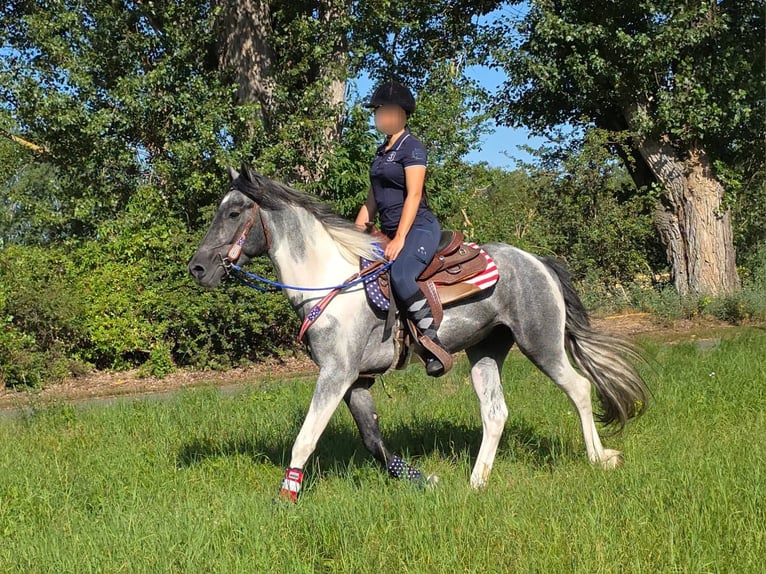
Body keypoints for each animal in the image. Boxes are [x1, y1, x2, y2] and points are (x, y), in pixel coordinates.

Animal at [188, 165, 648, 500]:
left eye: (233, 212)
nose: (197, 268)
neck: (330, 283)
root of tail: (537, 261)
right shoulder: (356, 380)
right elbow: (373, 440)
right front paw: (422, 479)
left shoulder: (336, 374)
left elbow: (306, 438)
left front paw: (286, 498)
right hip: (484, 353)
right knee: (495, 412)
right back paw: (476, 481)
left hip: (542, 344)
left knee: (580, 388)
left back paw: (599, 458)